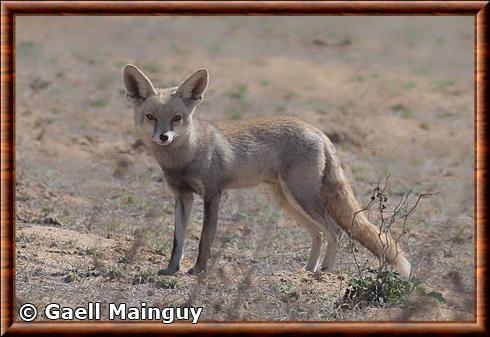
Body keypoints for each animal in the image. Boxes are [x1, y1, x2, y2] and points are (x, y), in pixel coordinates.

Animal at [123, 63, 414, 278]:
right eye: (150, 117)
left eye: (177, 118)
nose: (163, 137)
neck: (184, 159)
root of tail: (318, 130)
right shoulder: (182, 196)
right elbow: (178, 241)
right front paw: (172, 270)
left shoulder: (212, 194)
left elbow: (205, 238)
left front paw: (198, 271)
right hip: (286, 201)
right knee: (319, 233)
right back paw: (306, 271)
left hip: (302, 197)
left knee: (335, 232)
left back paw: (323, 272)